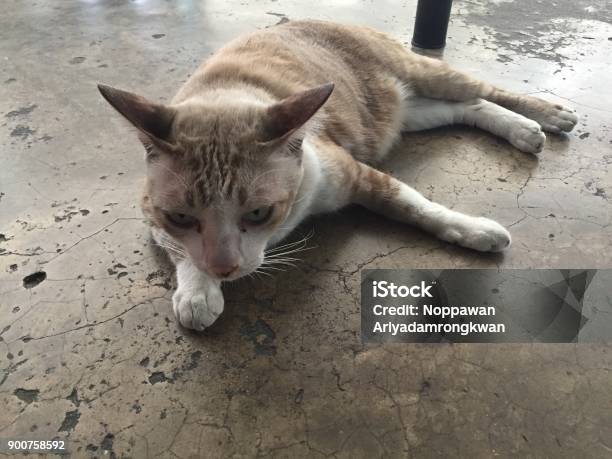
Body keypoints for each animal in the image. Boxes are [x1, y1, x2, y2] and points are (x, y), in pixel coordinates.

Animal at [98, 20, 576, 330]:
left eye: (258, 214)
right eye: (181, 218)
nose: (226, 268)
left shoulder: (353, 174)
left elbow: (416, 205)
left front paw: (476, 231)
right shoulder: (151, 214)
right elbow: (182, 252)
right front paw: (198, 293)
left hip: (426, 76)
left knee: (485, 90)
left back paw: (546, 117)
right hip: (410, 114)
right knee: (468, 107)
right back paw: (522, 130)